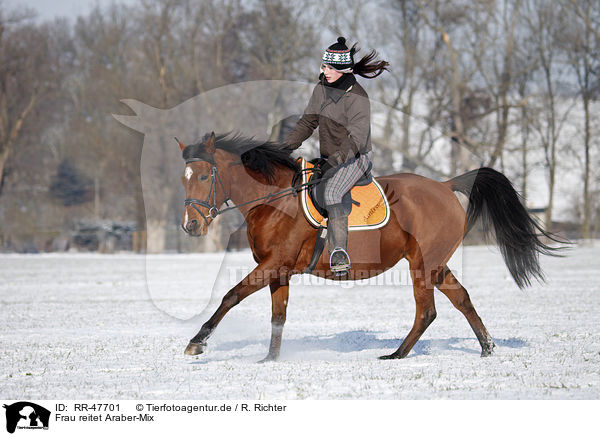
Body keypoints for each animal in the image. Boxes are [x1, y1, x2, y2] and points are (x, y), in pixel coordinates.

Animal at [176, 132, 560, 362]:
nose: (190, 225)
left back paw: (397, 355)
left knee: (427, 311)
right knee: (461, 298)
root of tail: (445, 185)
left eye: (205, 176)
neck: (274, 200)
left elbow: (230, 296)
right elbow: (278, 317)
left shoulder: (272, 265)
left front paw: (197, 342)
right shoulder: (279, 271)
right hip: (436, 263)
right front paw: (271, 359)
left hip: (422, 263)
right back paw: (486, 347)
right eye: (185, 177)